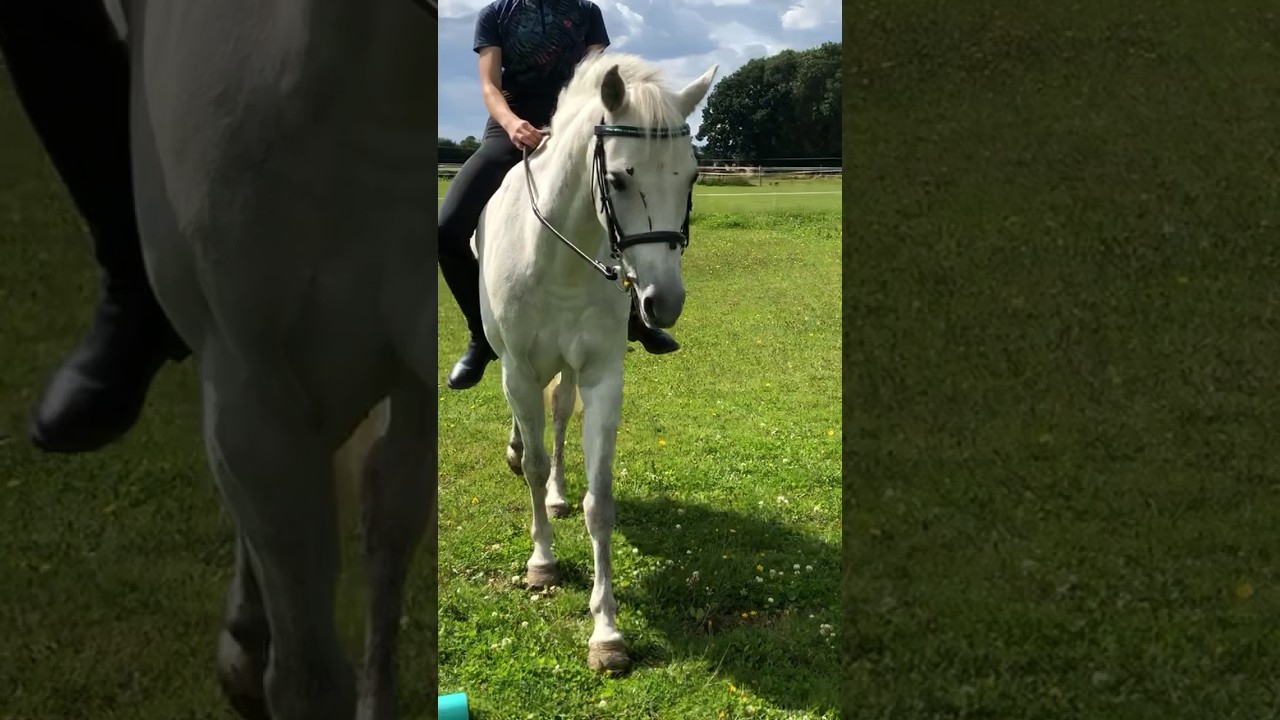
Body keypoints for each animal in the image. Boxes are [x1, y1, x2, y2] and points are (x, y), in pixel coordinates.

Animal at [475, 50, 717, 672]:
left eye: (692, 176)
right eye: (619, 178)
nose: (664, 302)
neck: (558, 254)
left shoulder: (603, 376)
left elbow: (599, 501)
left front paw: (606, 631)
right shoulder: (519, 371)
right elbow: (534, 466)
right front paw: (542, 564)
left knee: (560, 416)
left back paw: (559, 494)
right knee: (530, 432)